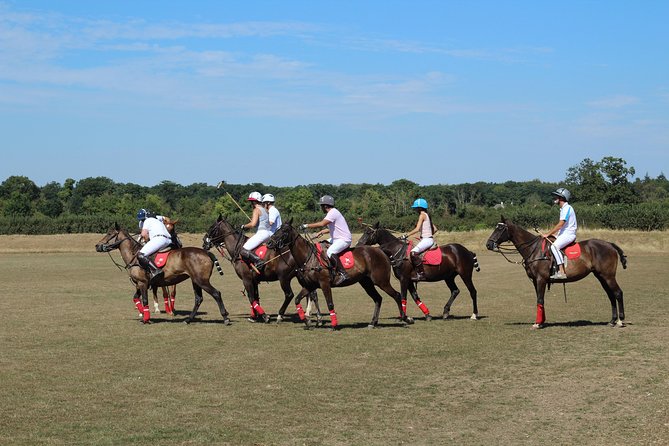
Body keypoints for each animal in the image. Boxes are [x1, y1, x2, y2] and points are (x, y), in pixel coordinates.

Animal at [95, 223, 230, 325]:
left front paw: (146, 318)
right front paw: (142, 314)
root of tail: (207, 253)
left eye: (109, 234)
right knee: (198, 298)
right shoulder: (140, 284)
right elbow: (135, 298)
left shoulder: (142, 283)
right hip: (195, 280)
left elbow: (145, 300)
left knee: (216, 293)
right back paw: (188, 319)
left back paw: (225, 318)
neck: (134, 256)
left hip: (202, 280)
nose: (97, 246)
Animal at [265, 219, 414, 329]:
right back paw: (373, 323)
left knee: (397, 295)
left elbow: (330, 303)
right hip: (366, 282)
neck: (308, 257)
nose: (269, 243)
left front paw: (334, 324)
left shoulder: (324, 283)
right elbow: (297, 299)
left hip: (381, 280)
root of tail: (381, 251)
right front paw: (306, 320)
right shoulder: (310, 285)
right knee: (378, 298)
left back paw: (405, 318)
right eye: (277, 229)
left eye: (284, 231)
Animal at [486, 216, 627, 329]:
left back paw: (620, 321)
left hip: (608, 276)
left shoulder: (541, 279)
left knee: (618, 293)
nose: (488, 244)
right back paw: (612, 321)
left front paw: (538, 323)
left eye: (500, 228)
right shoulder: (535, 281)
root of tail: (610, 244)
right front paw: (541, 321)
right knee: (610, 295)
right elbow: (539, 299)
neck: (533, 249)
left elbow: (540, 299)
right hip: (601, 276)